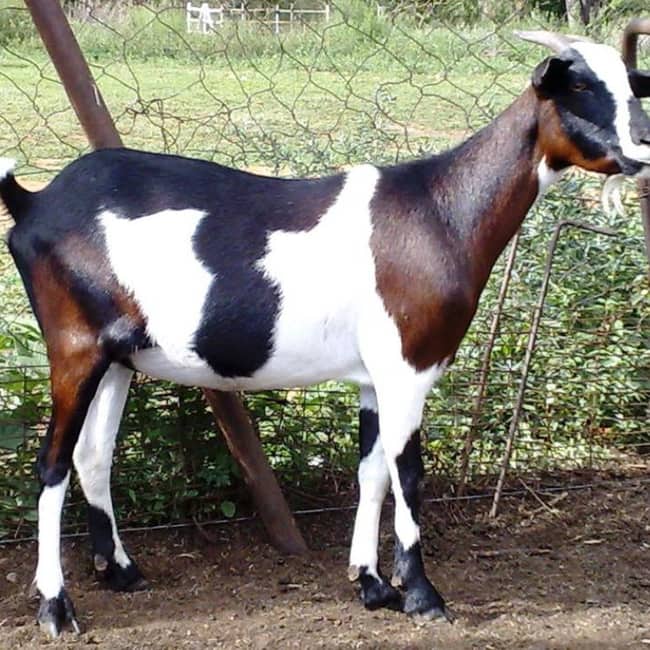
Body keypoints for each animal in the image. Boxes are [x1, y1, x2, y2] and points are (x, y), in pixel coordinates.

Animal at [2, 31, 650, 638]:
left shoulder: (373, 376)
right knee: (52, 464)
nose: (643, 148)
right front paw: (421, 595)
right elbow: (408, 476)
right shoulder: (408, 367)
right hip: (74, 347)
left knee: (92, 456)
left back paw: (120, 571)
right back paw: (56, 606)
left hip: (117, 356)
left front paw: (371, 583)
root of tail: (33, 203)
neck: (439, 211)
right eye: (579, 85)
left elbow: (372, 471)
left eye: (631, 85)